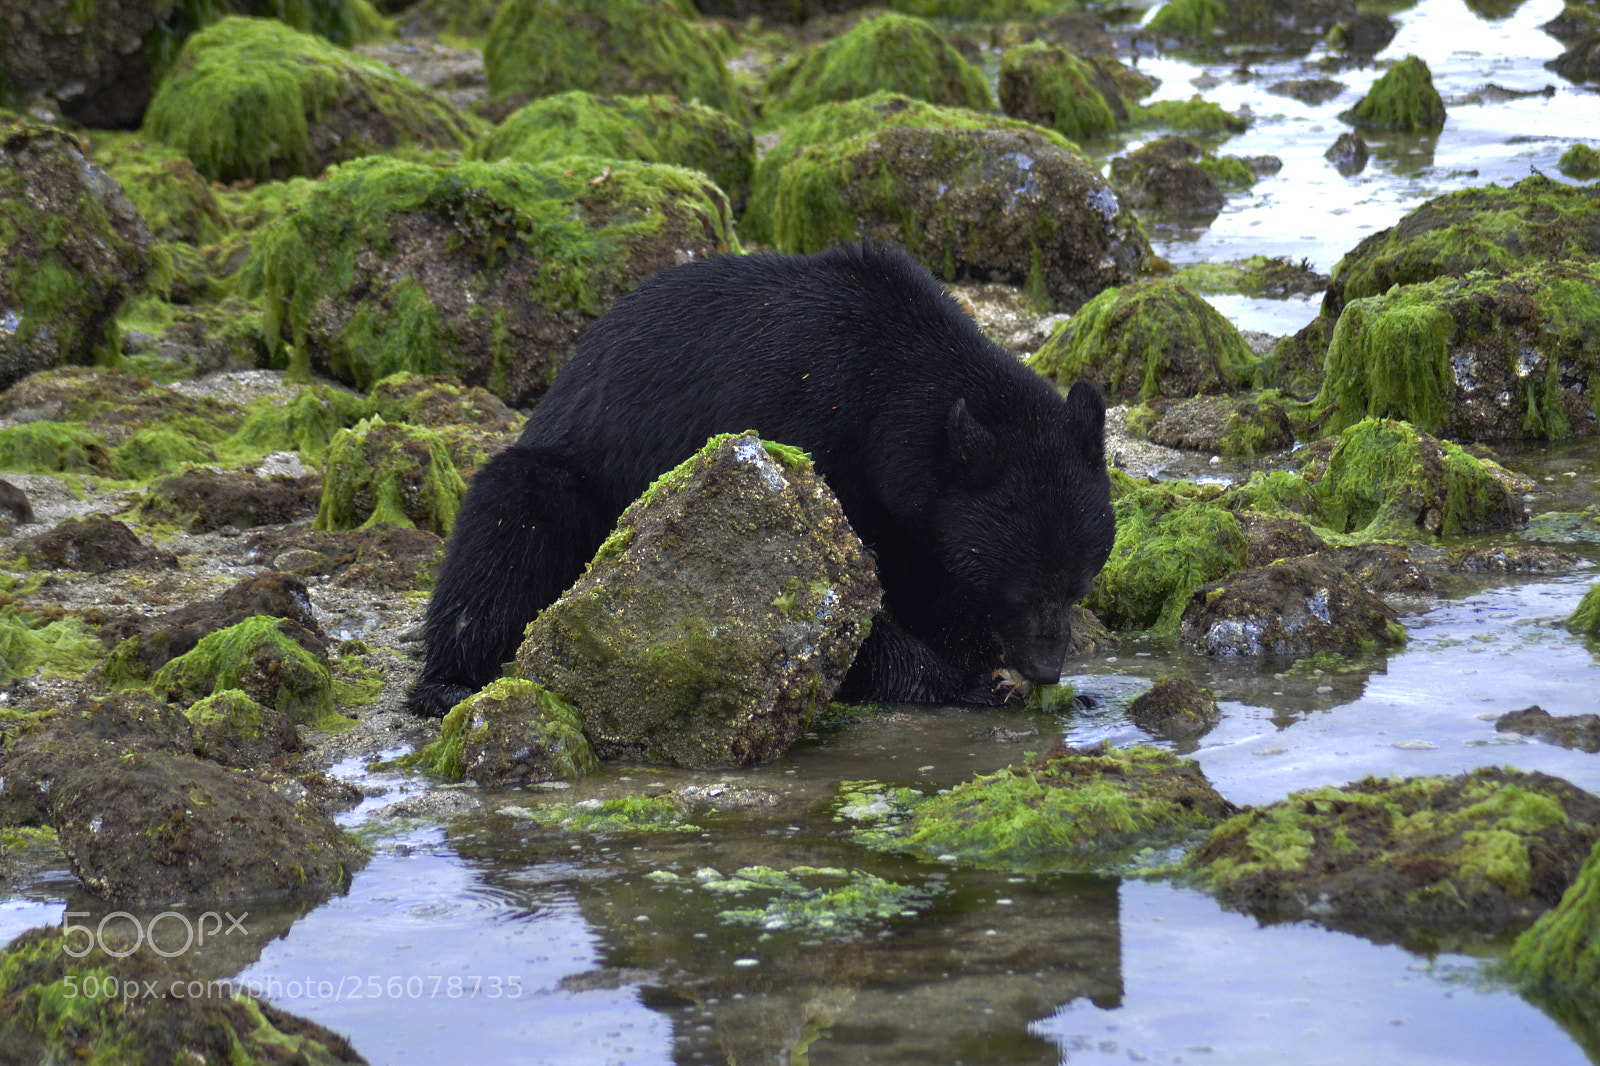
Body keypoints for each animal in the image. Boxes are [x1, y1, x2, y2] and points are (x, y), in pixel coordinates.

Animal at [408, 243, 1115, 718]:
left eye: (1080, 584)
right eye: (1023, 589)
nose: (1047, 667)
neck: (885, 384)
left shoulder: (917, 508)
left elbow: (929, 572)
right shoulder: (802, 430)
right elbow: (828, 595)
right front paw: (957, 680)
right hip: (563, 475)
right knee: (507, 529)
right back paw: (449, 681)